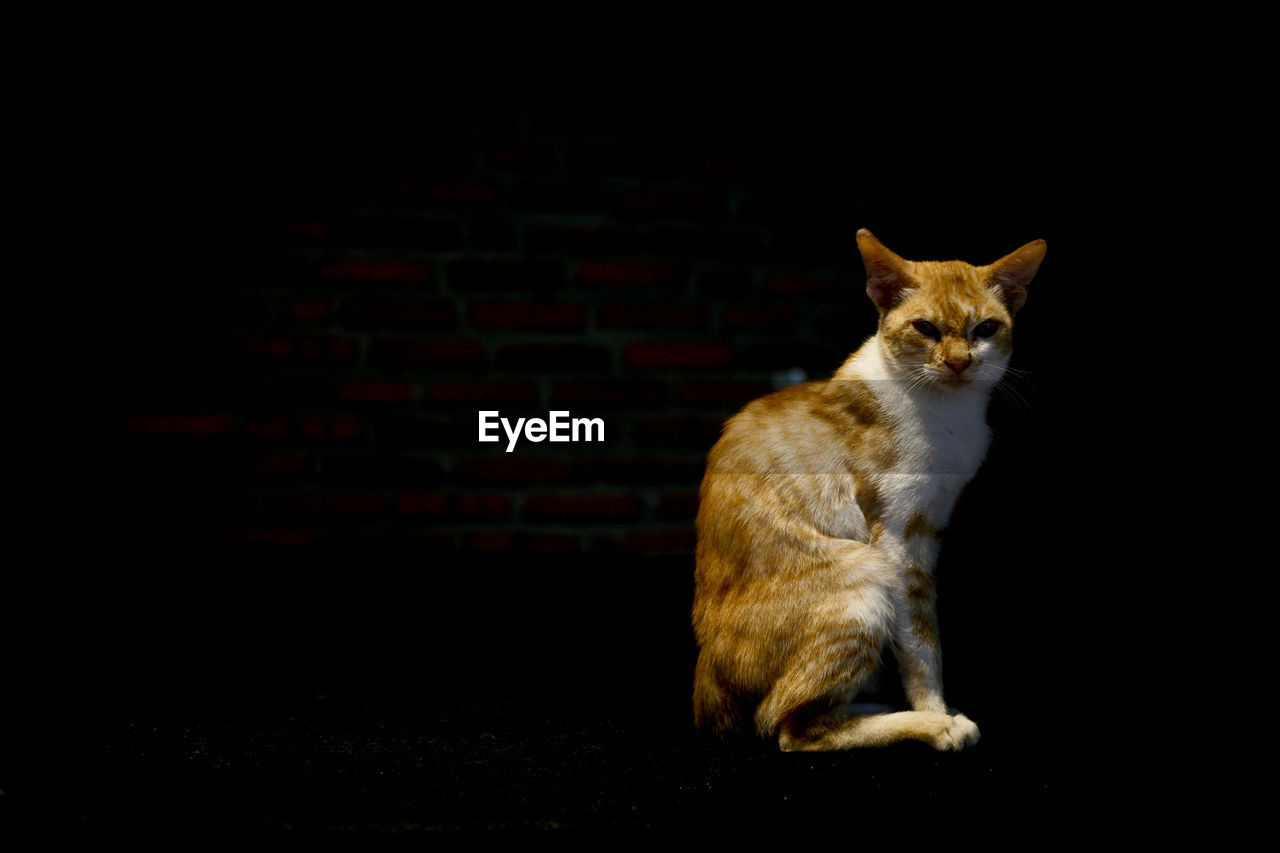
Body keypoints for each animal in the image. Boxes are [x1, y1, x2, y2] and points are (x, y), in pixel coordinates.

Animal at [696, 227, 1044, 753]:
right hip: (863, 575)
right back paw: (918, 724)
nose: (959, 363)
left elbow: (922, 638)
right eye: (925, 328)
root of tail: (706, 698)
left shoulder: (932, 524)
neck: (950, 414)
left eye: (986, 329)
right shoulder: (898, 538)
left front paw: (933, 707)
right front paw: (936, 713)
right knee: (789, 725)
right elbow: (921, 641)